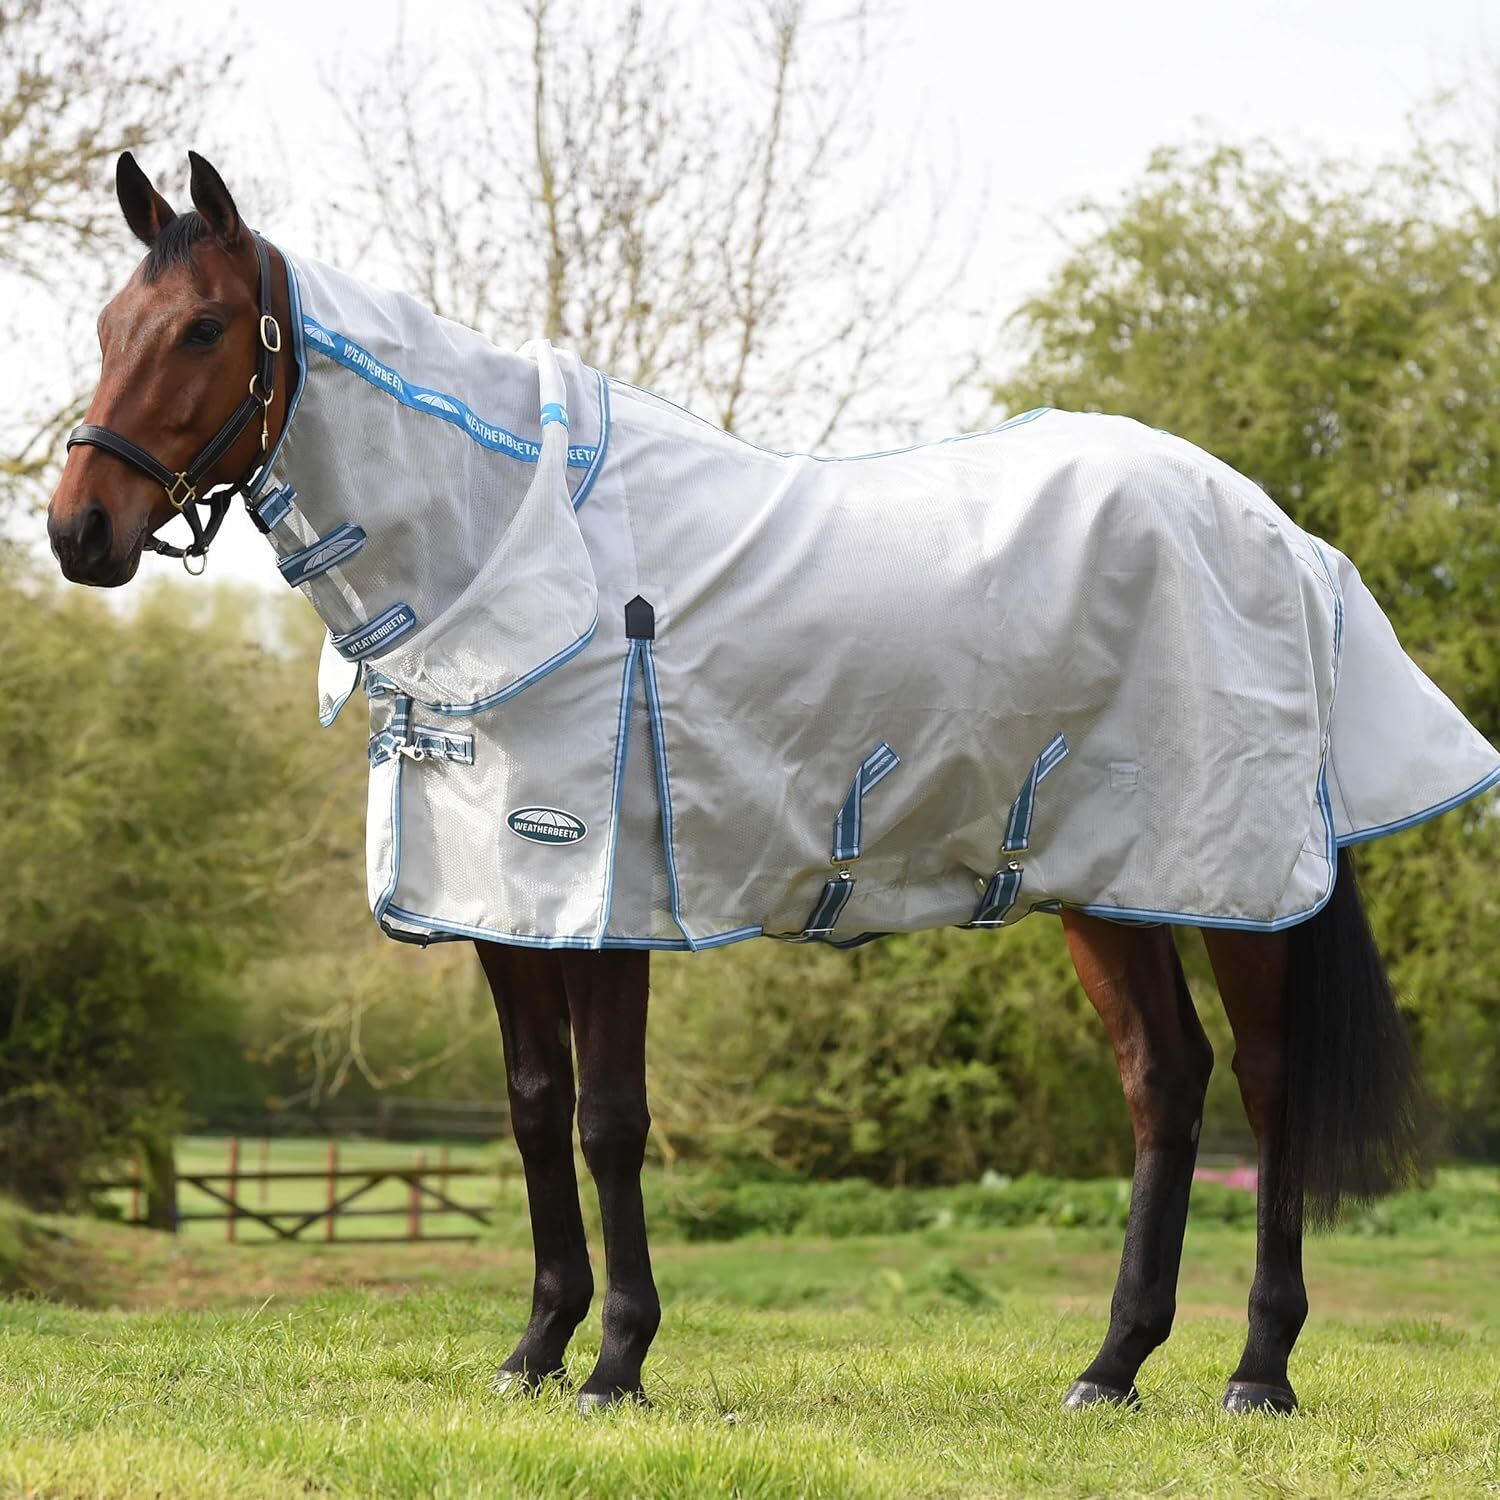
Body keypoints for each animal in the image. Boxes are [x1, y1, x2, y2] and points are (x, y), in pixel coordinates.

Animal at [47, 151, 1497, 1417]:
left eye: (204, 327)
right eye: (112, 319)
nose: (79, 531)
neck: (515, 548)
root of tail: (1282, 536)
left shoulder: (608, 904)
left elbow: (610, 1120)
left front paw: (617, 1364)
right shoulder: (507, 911)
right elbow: (531, 1114)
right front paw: (534, 1350)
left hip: (1238, 883)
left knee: (1268, 1081)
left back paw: (1260, 1372)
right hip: (1106, 882)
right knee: (1167, 1081)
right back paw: (1113, 1366)